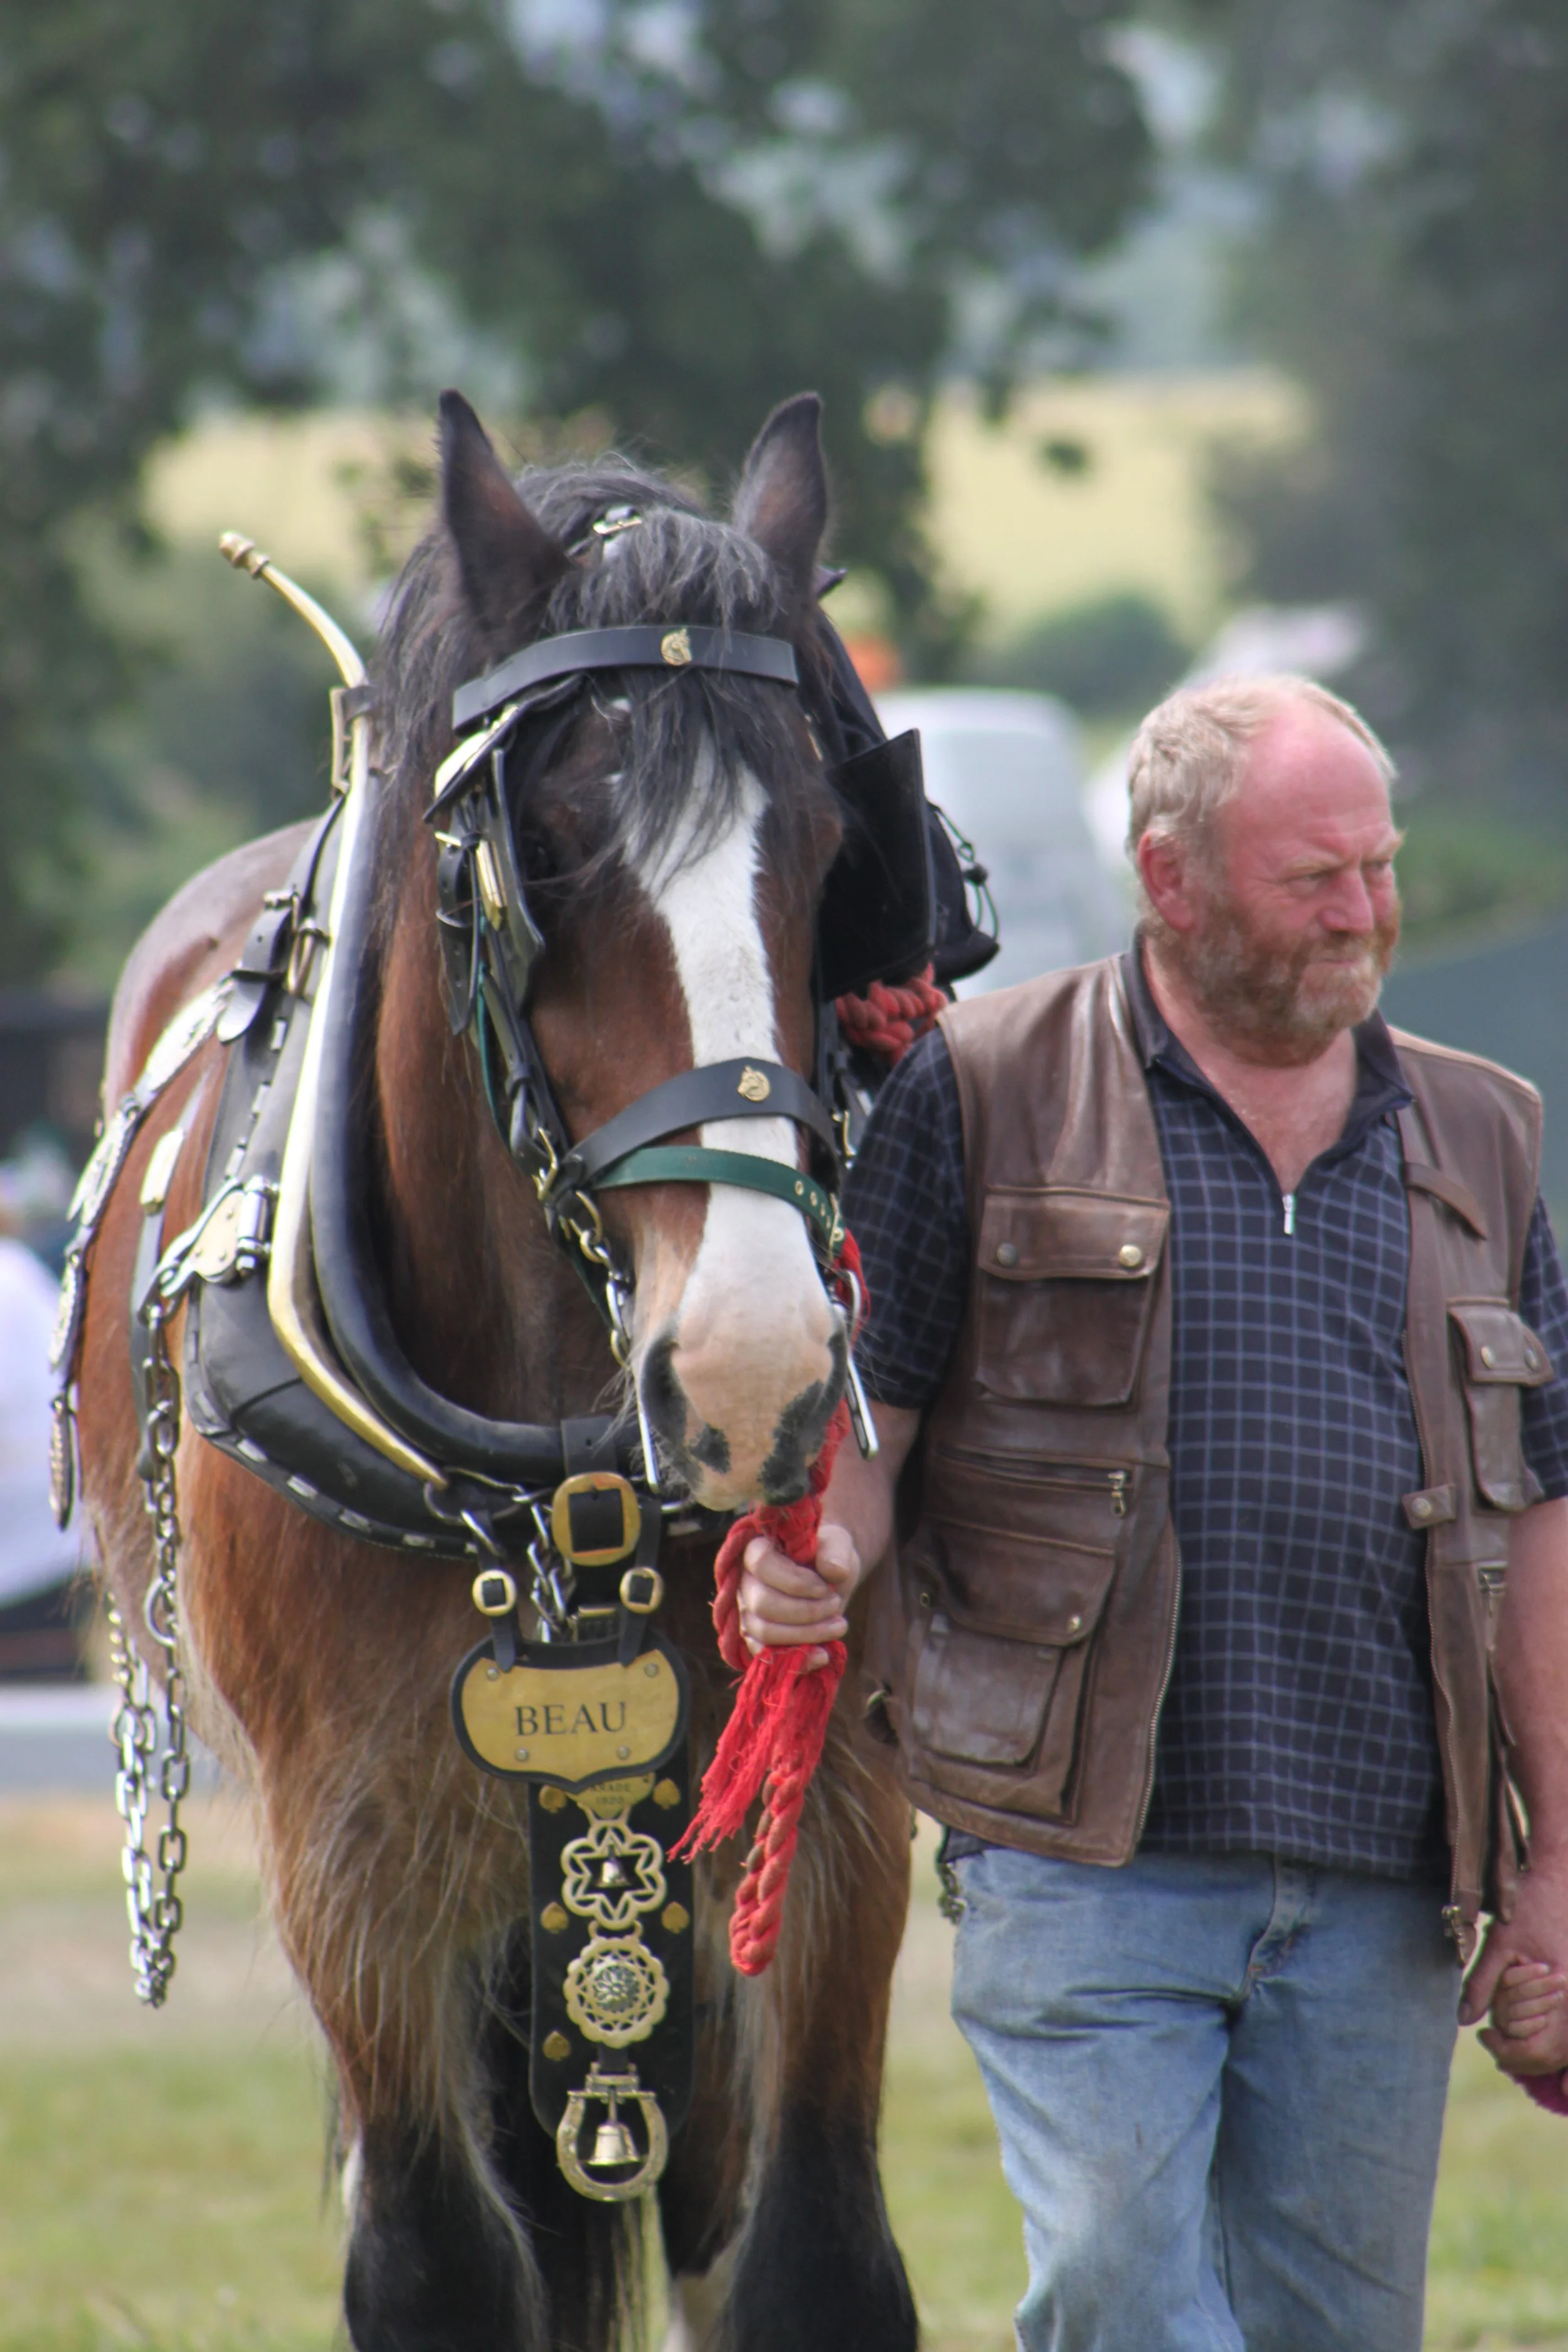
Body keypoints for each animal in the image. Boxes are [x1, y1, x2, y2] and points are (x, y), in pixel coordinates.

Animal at [72, 391, 918, 2352]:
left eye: (834, 847)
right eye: (543, 843)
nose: (755, 1367)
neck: (563, 1489)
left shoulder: (829, 1833)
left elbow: (809, 2256)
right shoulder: (358, 1865)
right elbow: (444, 2265)